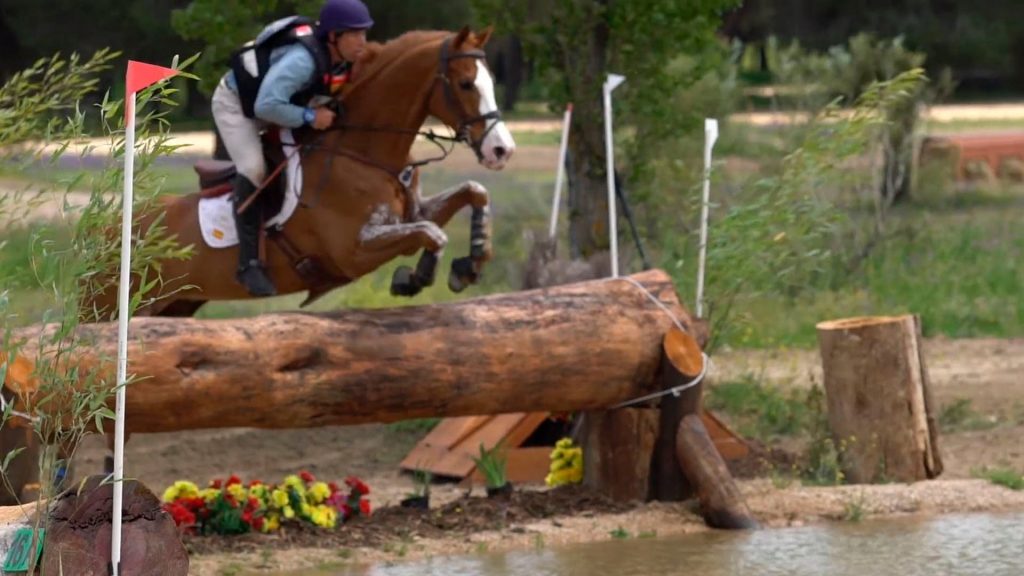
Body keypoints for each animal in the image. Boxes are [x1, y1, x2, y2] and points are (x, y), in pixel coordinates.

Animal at [83, 24, 516, 315]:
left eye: (491, 80)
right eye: (465, 84)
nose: (501, 150)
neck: (363, 152)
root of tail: (102, 230)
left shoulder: (410, 213)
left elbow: (472, 193)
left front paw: (470, 264)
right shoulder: (354, 251)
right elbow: (432, 233)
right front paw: (416, 278)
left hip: (176, 305)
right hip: (109, 309)